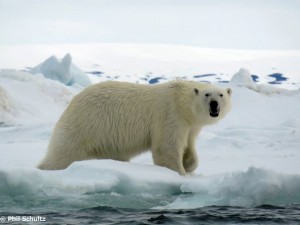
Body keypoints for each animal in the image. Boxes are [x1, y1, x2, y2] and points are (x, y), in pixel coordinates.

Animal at [38, 80, 232, 175]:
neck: (182, 100)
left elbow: (188, 146)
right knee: (62, 153)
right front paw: (180, 172)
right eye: (207, 94)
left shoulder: (190, 125)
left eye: (221, 94)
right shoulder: (170, 114)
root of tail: (73, 102)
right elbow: (166, 147)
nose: (214, 104)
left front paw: (188, 165)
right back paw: (44, 168)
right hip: (85, 124)